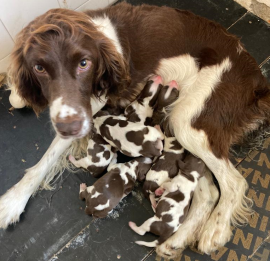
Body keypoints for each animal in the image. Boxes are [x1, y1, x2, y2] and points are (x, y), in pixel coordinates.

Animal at [1, 2, 268, 255]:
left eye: (84, 63)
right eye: (39, 68)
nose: (69, 128)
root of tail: (257, 79)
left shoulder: (89, 106)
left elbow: (45, 160)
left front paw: (12, 202)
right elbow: (17, 97)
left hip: (188, 123)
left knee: (234, 183)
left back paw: (215, 230)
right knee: (208, 192)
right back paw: (174, 242)